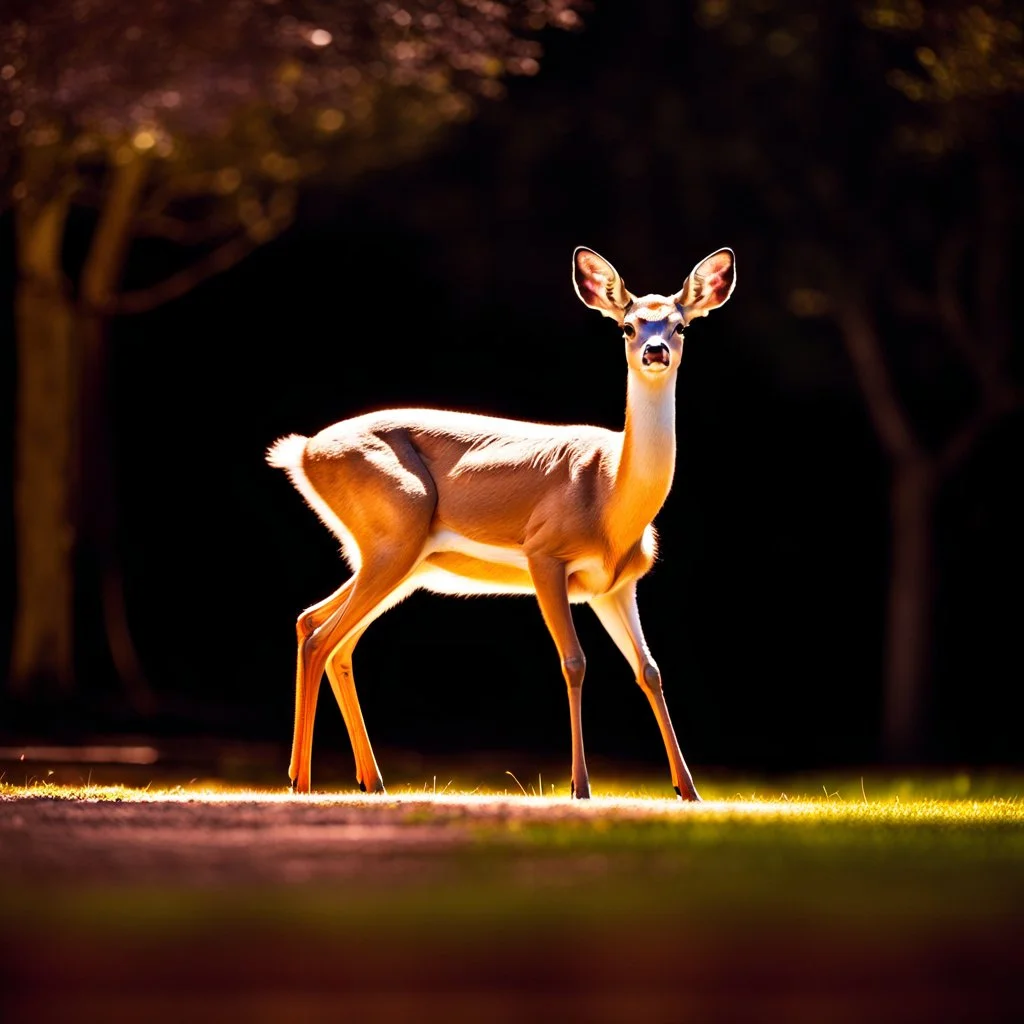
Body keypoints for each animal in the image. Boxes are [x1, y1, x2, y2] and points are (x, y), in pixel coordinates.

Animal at [266, 245, 737, 798]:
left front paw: (688, 789)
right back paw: (303, 783)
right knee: (323, 636)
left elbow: (649, 669)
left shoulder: (615, 585)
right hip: (395, 537)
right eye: (627, 326)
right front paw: (580, 787)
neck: (610, 498)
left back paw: (368, 780)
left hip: (402, 560)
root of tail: (303, 452)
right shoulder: (544, 555)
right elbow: (574, 662)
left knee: (325, 631)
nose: (656, 351)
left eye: (681, 325)